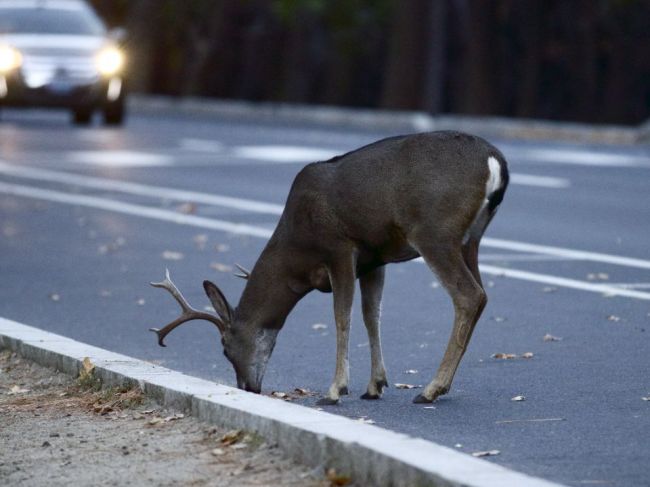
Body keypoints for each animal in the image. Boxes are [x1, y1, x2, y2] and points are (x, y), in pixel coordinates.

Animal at [151, 132, 506, 406]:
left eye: (225, 348)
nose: (247, 387)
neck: (296, 253)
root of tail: (496, 162)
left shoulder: (339, 247)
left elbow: (342, 316)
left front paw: (335, 390)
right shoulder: (374, 260)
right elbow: (371, 315)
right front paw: (374, 386)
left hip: (433, 231)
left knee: (468, 295)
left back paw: (431, 389)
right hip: (470, 239)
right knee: (482, 295)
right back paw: (440, 386)